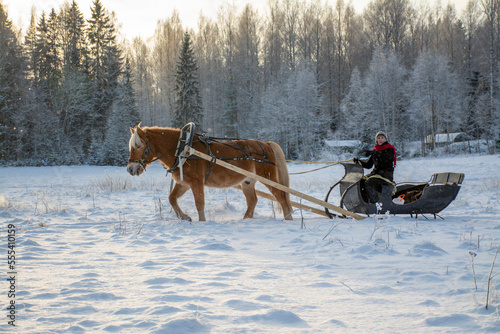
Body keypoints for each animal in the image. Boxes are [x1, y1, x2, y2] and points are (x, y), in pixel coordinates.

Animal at [127, 123, 294, 222]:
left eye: (138, 146)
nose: (130, 169)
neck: (183, 149)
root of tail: (266, 144)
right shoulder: (184, 183)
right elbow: (171, 198)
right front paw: (184, 217)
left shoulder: (196, 182)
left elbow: (199, 203)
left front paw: (202, 221)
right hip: (248, 181)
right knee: (253, 200)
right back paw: (246, 219)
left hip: (268, 177)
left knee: (281, 196)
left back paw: (288, 219)